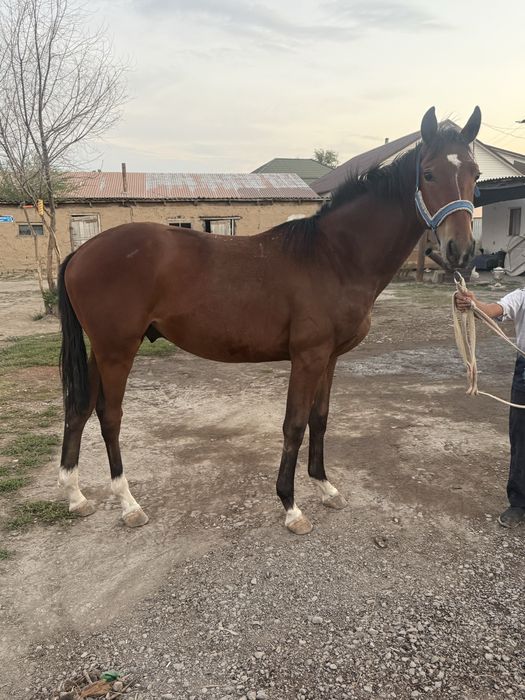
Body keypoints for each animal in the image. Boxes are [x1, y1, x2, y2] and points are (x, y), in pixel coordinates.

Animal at [57, 106, 481, 534]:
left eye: (475, 174)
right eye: (428, 173)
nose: (460, 250)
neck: (334, 256)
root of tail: (81, 253)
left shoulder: (329, 358)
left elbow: (320, 418)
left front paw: (325, 487)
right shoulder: (307, 357)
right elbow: (294, 424)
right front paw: (291, 506)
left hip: (102, 350)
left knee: (78, 409)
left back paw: (76, 496)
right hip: (118, 351)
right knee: (109, 416)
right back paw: (128, 503)